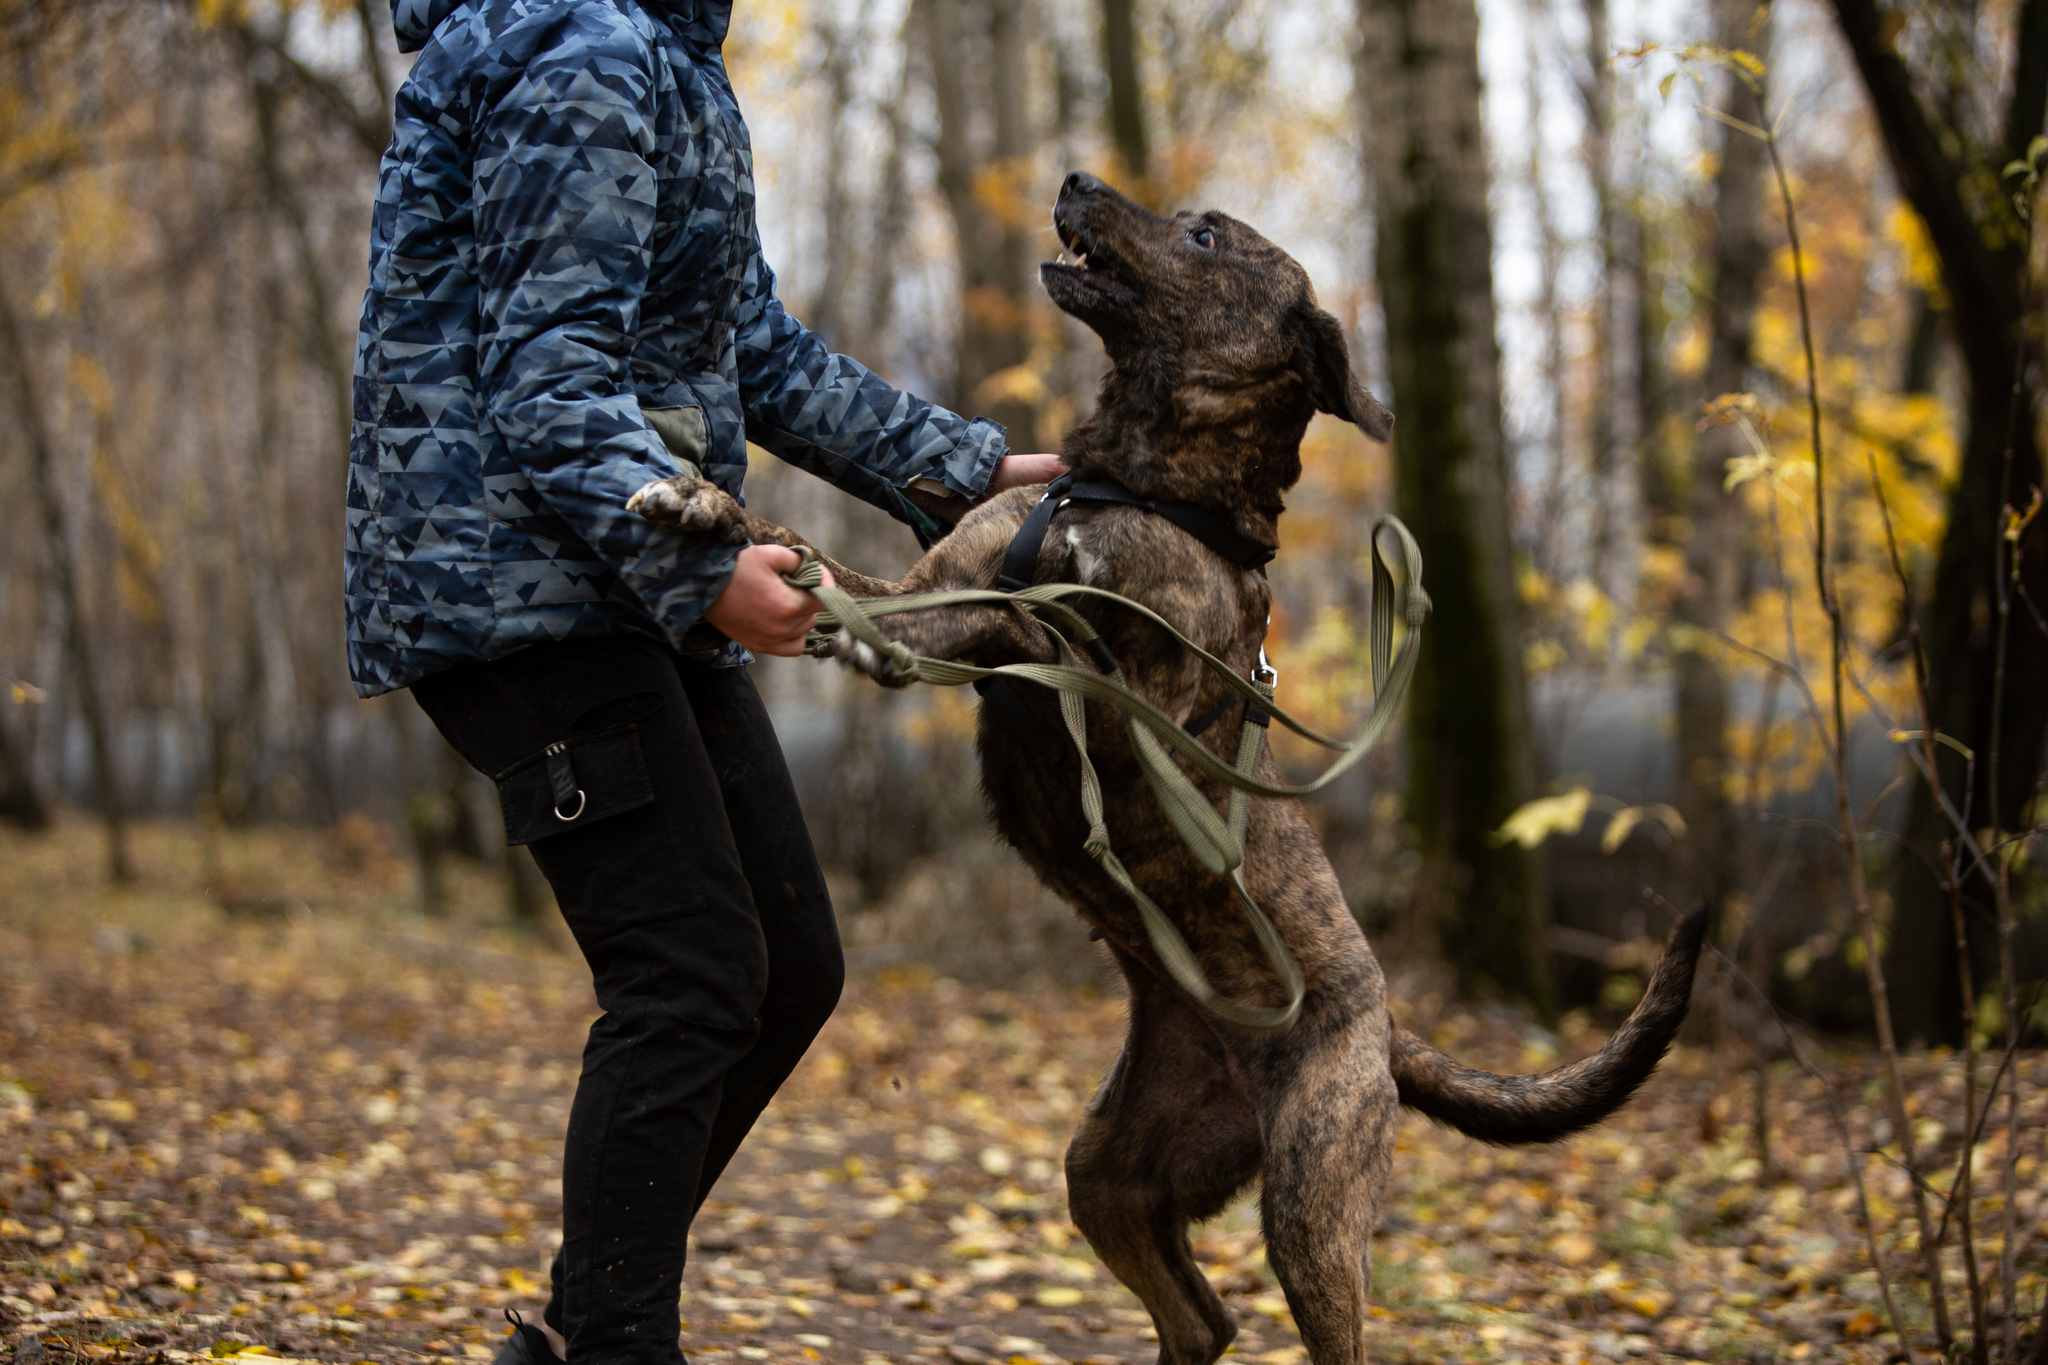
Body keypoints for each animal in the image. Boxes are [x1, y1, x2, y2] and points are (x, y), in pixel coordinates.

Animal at [626, 173, 1712, 1365]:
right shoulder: (935, 585)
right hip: (1108, 1169)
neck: (1134, 481)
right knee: (1201, 1316)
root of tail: (1384, 1029)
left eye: (1203, 236)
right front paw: (709, 509)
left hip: (1310, 1201)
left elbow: (1037, 625)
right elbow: (840, 567)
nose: (1074, 179)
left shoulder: (1126, 693)